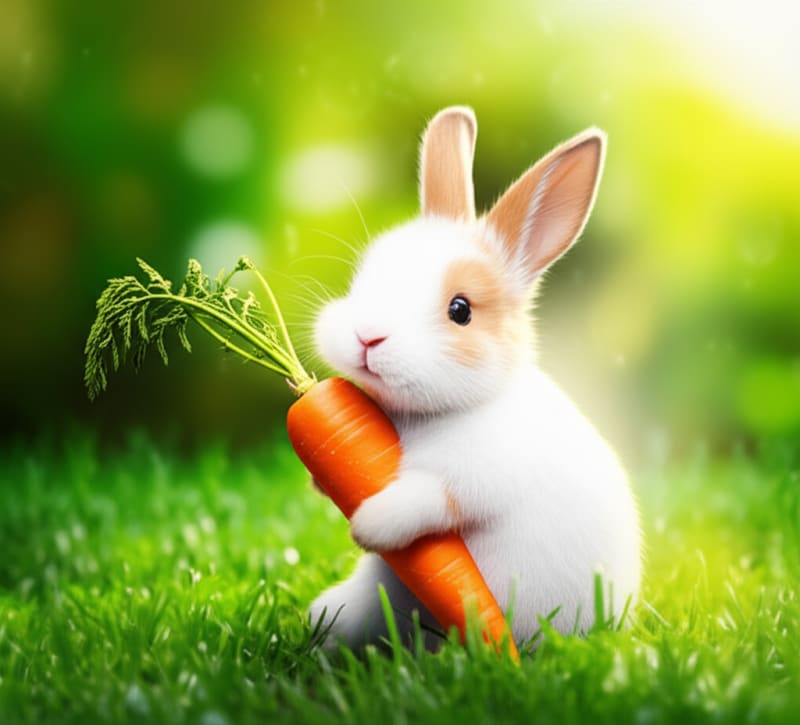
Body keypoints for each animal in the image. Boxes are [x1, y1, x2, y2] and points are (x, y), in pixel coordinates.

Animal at [308, 106, 641, 650]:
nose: (367, 336)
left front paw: (369, 525)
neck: (423, 418)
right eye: (363, 278)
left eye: (460, 310)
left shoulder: (476, 475)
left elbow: (429, 498)